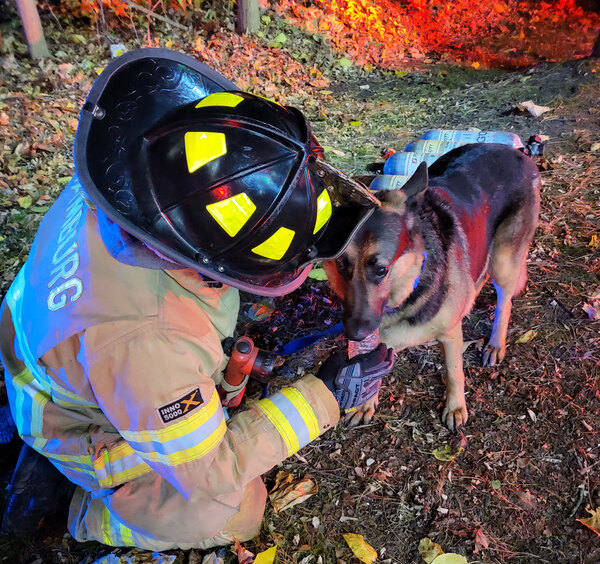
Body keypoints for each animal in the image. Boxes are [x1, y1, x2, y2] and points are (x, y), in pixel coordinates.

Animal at [326, 143, 540, 430]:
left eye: (381, 269)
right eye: (340, 266)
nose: (355, 334)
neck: (411, 286)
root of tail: (518, 151)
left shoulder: (450, 335)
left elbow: (454, 372)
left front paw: (456, 406)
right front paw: (366, 401)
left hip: (504, 261)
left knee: (503, 301)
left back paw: (496, 343)